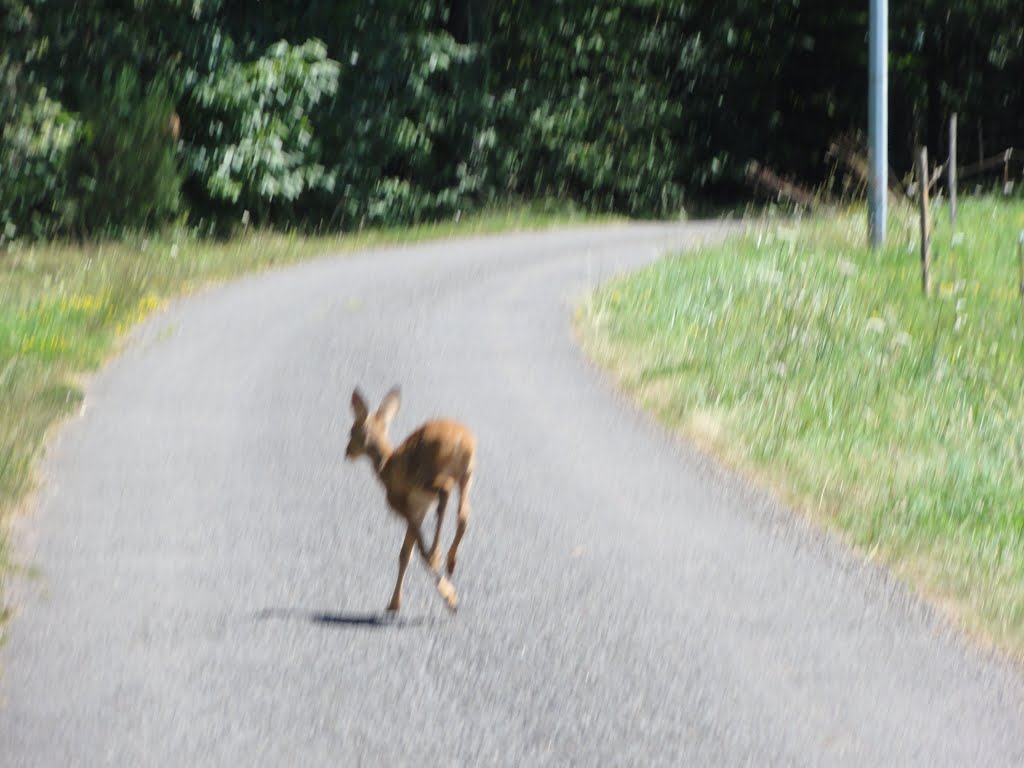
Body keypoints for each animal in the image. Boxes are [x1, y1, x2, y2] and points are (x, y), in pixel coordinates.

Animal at [342, 387, 473, 618]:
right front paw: (394, 603)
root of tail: (462, 441)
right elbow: (405, 554)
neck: (385, 466)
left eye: (352, 431)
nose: (347, 451)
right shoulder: (418, 507)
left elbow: (415, 551)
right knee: (464, 513)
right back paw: (450, 561)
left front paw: (449, 596)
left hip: (431, 476)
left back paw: (437, 555)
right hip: (467, 474)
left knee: (446, 492)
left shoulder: (402, 505)